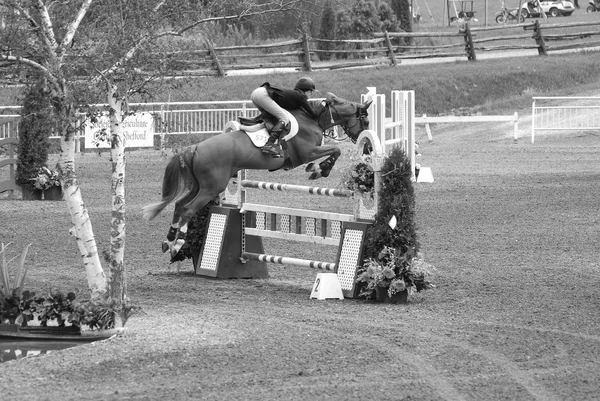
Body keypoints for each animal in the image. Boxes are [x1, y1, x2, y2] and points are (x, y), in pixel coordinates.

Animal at [143, 92, 372, 255]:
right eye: (367, 122)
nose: (367, 145)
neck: (312, 118)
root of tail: (194, 148)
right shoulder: (307, 153)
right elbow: (336, 150)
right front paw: (319, 170)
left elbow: (335, 151)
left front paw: (317, 169)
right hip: (211, 187)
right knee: (187, 209)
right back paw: (177, 243)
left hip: (200, 185)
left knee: (179, 205)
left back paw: (169, 240)